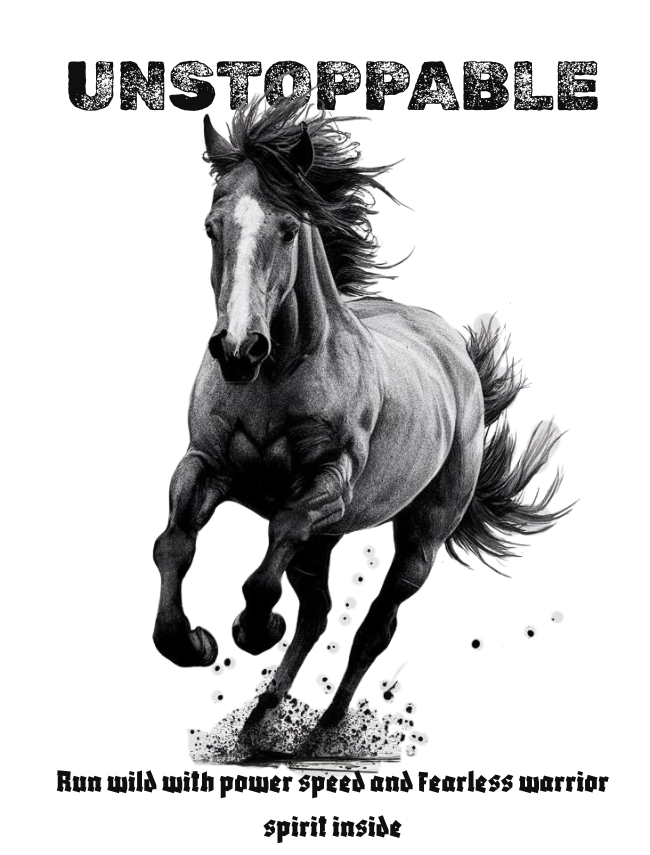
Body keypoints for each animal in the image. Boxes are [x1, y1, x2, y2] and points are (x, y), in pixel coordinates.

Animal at [152, 74, 580, 733]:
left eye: (287, 228)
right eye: (210, 227)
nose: (238, 349)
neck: (277, 379)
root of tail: (456, 350)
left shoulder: (329, 486)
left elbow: (268, 567)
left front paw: (252, 629)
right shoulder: (204, 463)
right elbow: (174, 545)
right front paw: (194, 641)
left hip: (420, 536)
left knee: (376, 625)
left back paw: (323, 729)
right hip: (328, 538)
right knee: (317, 611)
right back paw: (260, 721)